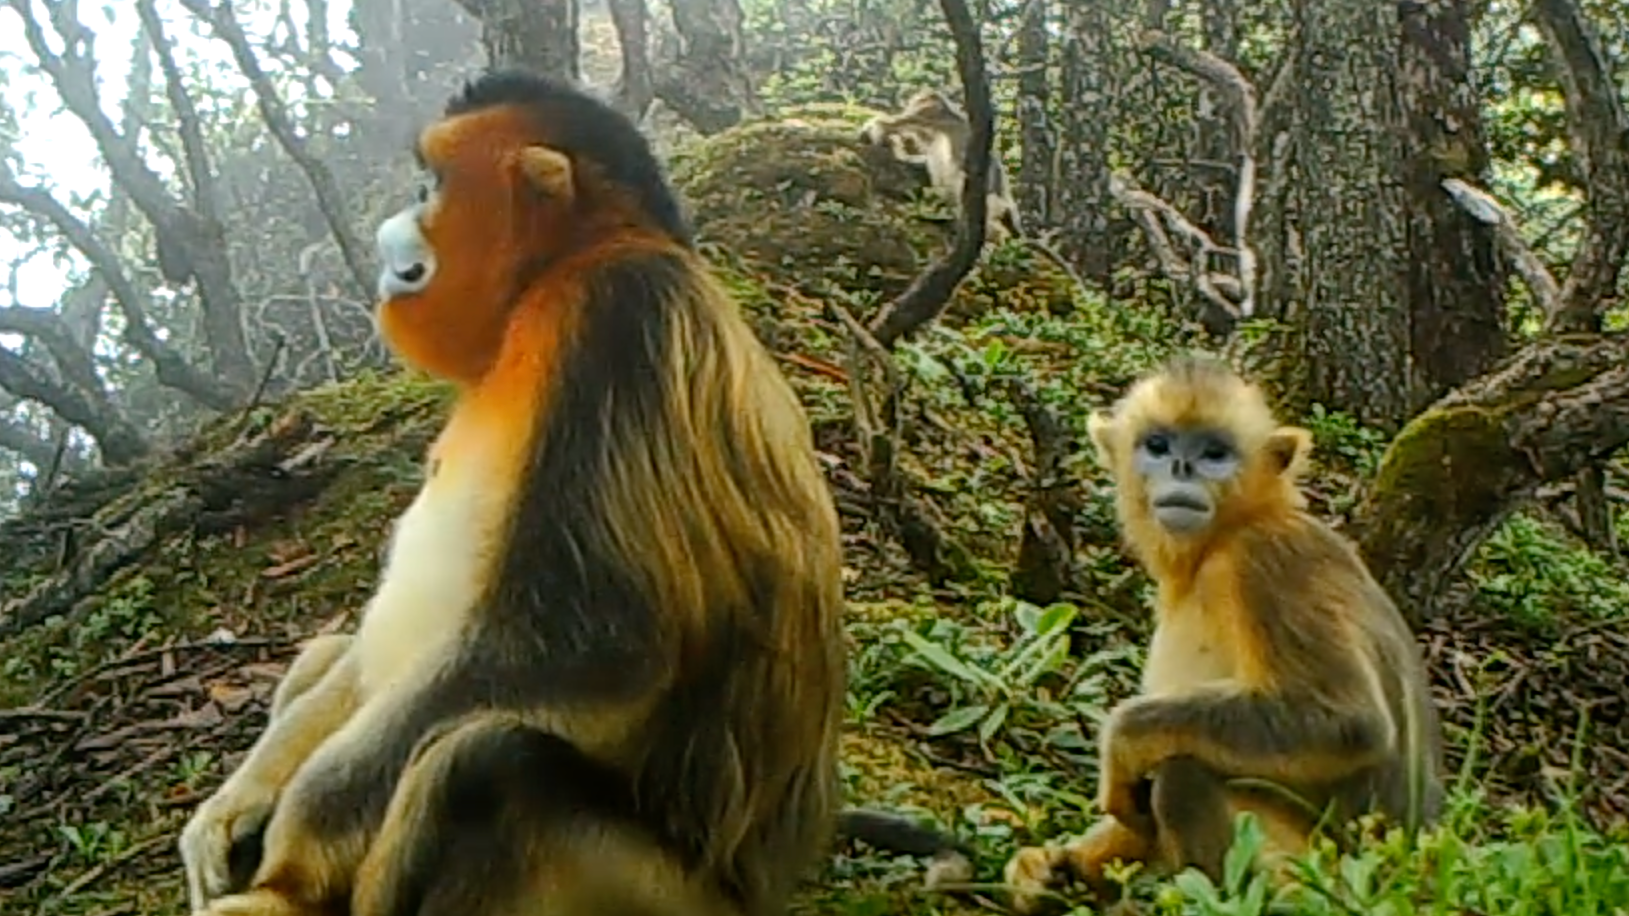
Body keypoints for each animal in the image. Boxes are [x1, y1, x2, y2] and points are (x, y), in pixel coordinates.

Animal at [178, 68, 852, 916]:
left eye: (429, 186)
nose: (393, 231)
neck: (550, 280)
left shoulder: (617, 315)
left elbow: (578, 646)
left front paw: (287, 866)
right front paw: (233, 810)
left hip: (670, 895)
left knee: (484, 763)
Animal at [858, 88, 1090, 300]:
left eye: (922, 101)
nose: (917, 102)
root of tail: (1007, 200)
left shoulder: (930, 117)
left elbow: (896, 124)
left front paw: (876, 130)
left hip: (989, 202)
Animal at [1002, 355, 1444, 913]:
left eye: (1214, 454)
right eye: (1158, 445)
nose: (1182, 468)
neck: (1224, 538)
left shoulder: (1268, 558)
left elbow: (1351, 722)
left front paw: (1120, 742)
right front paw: (1050, 870)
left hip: (1312, 887)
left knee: (1182, 775)